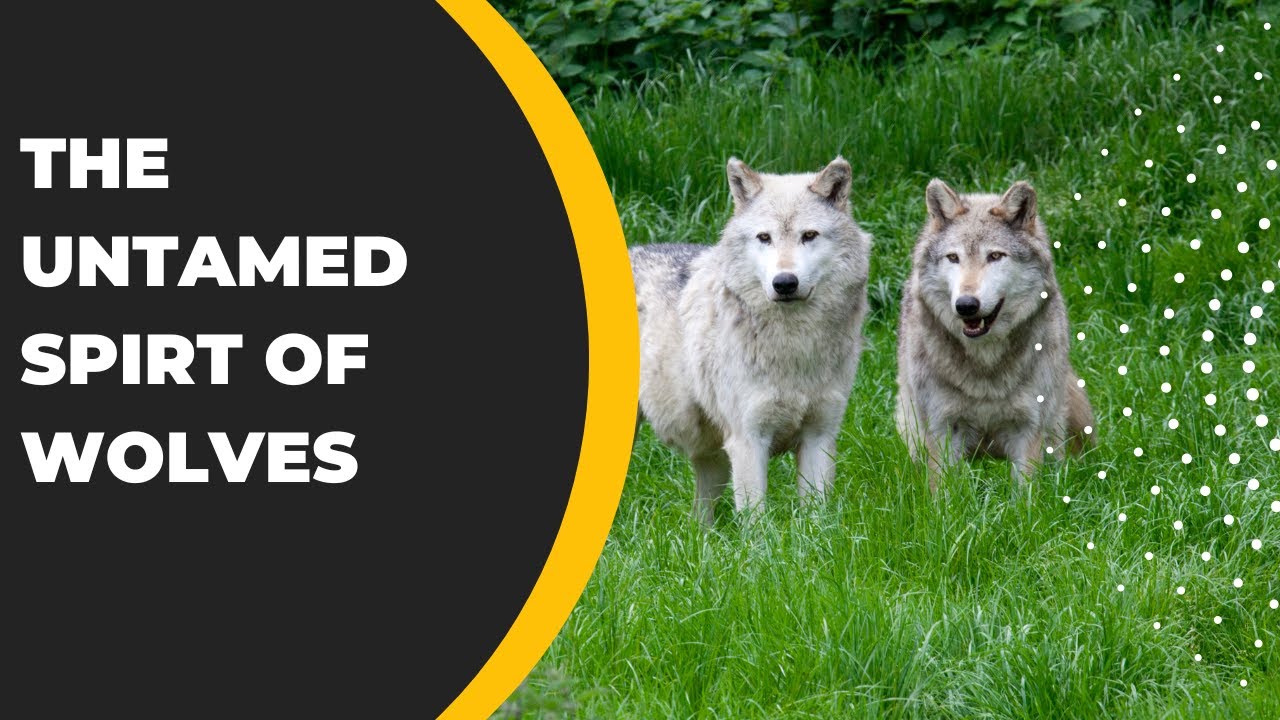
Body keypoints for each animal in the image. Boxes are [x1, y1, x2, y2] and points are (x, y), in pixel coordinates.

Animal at [631, 157, 871, 522]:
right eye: (764, 238)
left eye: (809, 236)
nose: (784, 283)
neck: (795, 346)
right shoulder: (748, 440)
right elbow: (756, 523)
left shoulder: (819, 436)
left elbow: (816, 521)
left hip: (712, 458)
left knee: (700, 519)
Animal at [895, 179, 1094, 492]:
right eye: (953, 258)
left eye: (995, 256)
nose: (966, 305)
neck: (985, 367)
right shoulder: (942, 428)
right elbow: (944, 495)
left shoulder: (1028, 429)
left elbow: (1025, 495)